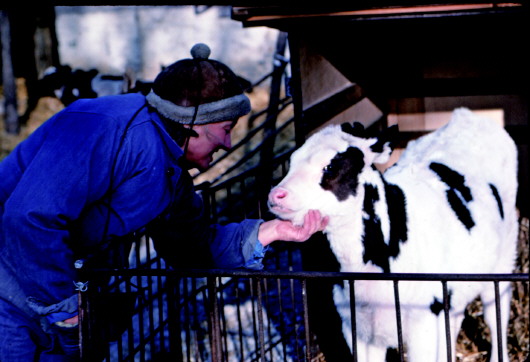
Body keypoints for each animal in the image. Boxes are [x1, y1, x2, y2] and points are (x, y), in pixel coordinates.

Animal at [268, 108, 516, 362]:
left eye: (330, 168)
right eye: (292, 161)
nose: (276, 195)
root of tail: (466, 115)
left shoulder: (425, 320)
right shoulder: (356, 326)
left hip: (504, 257)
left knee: (496, 312)